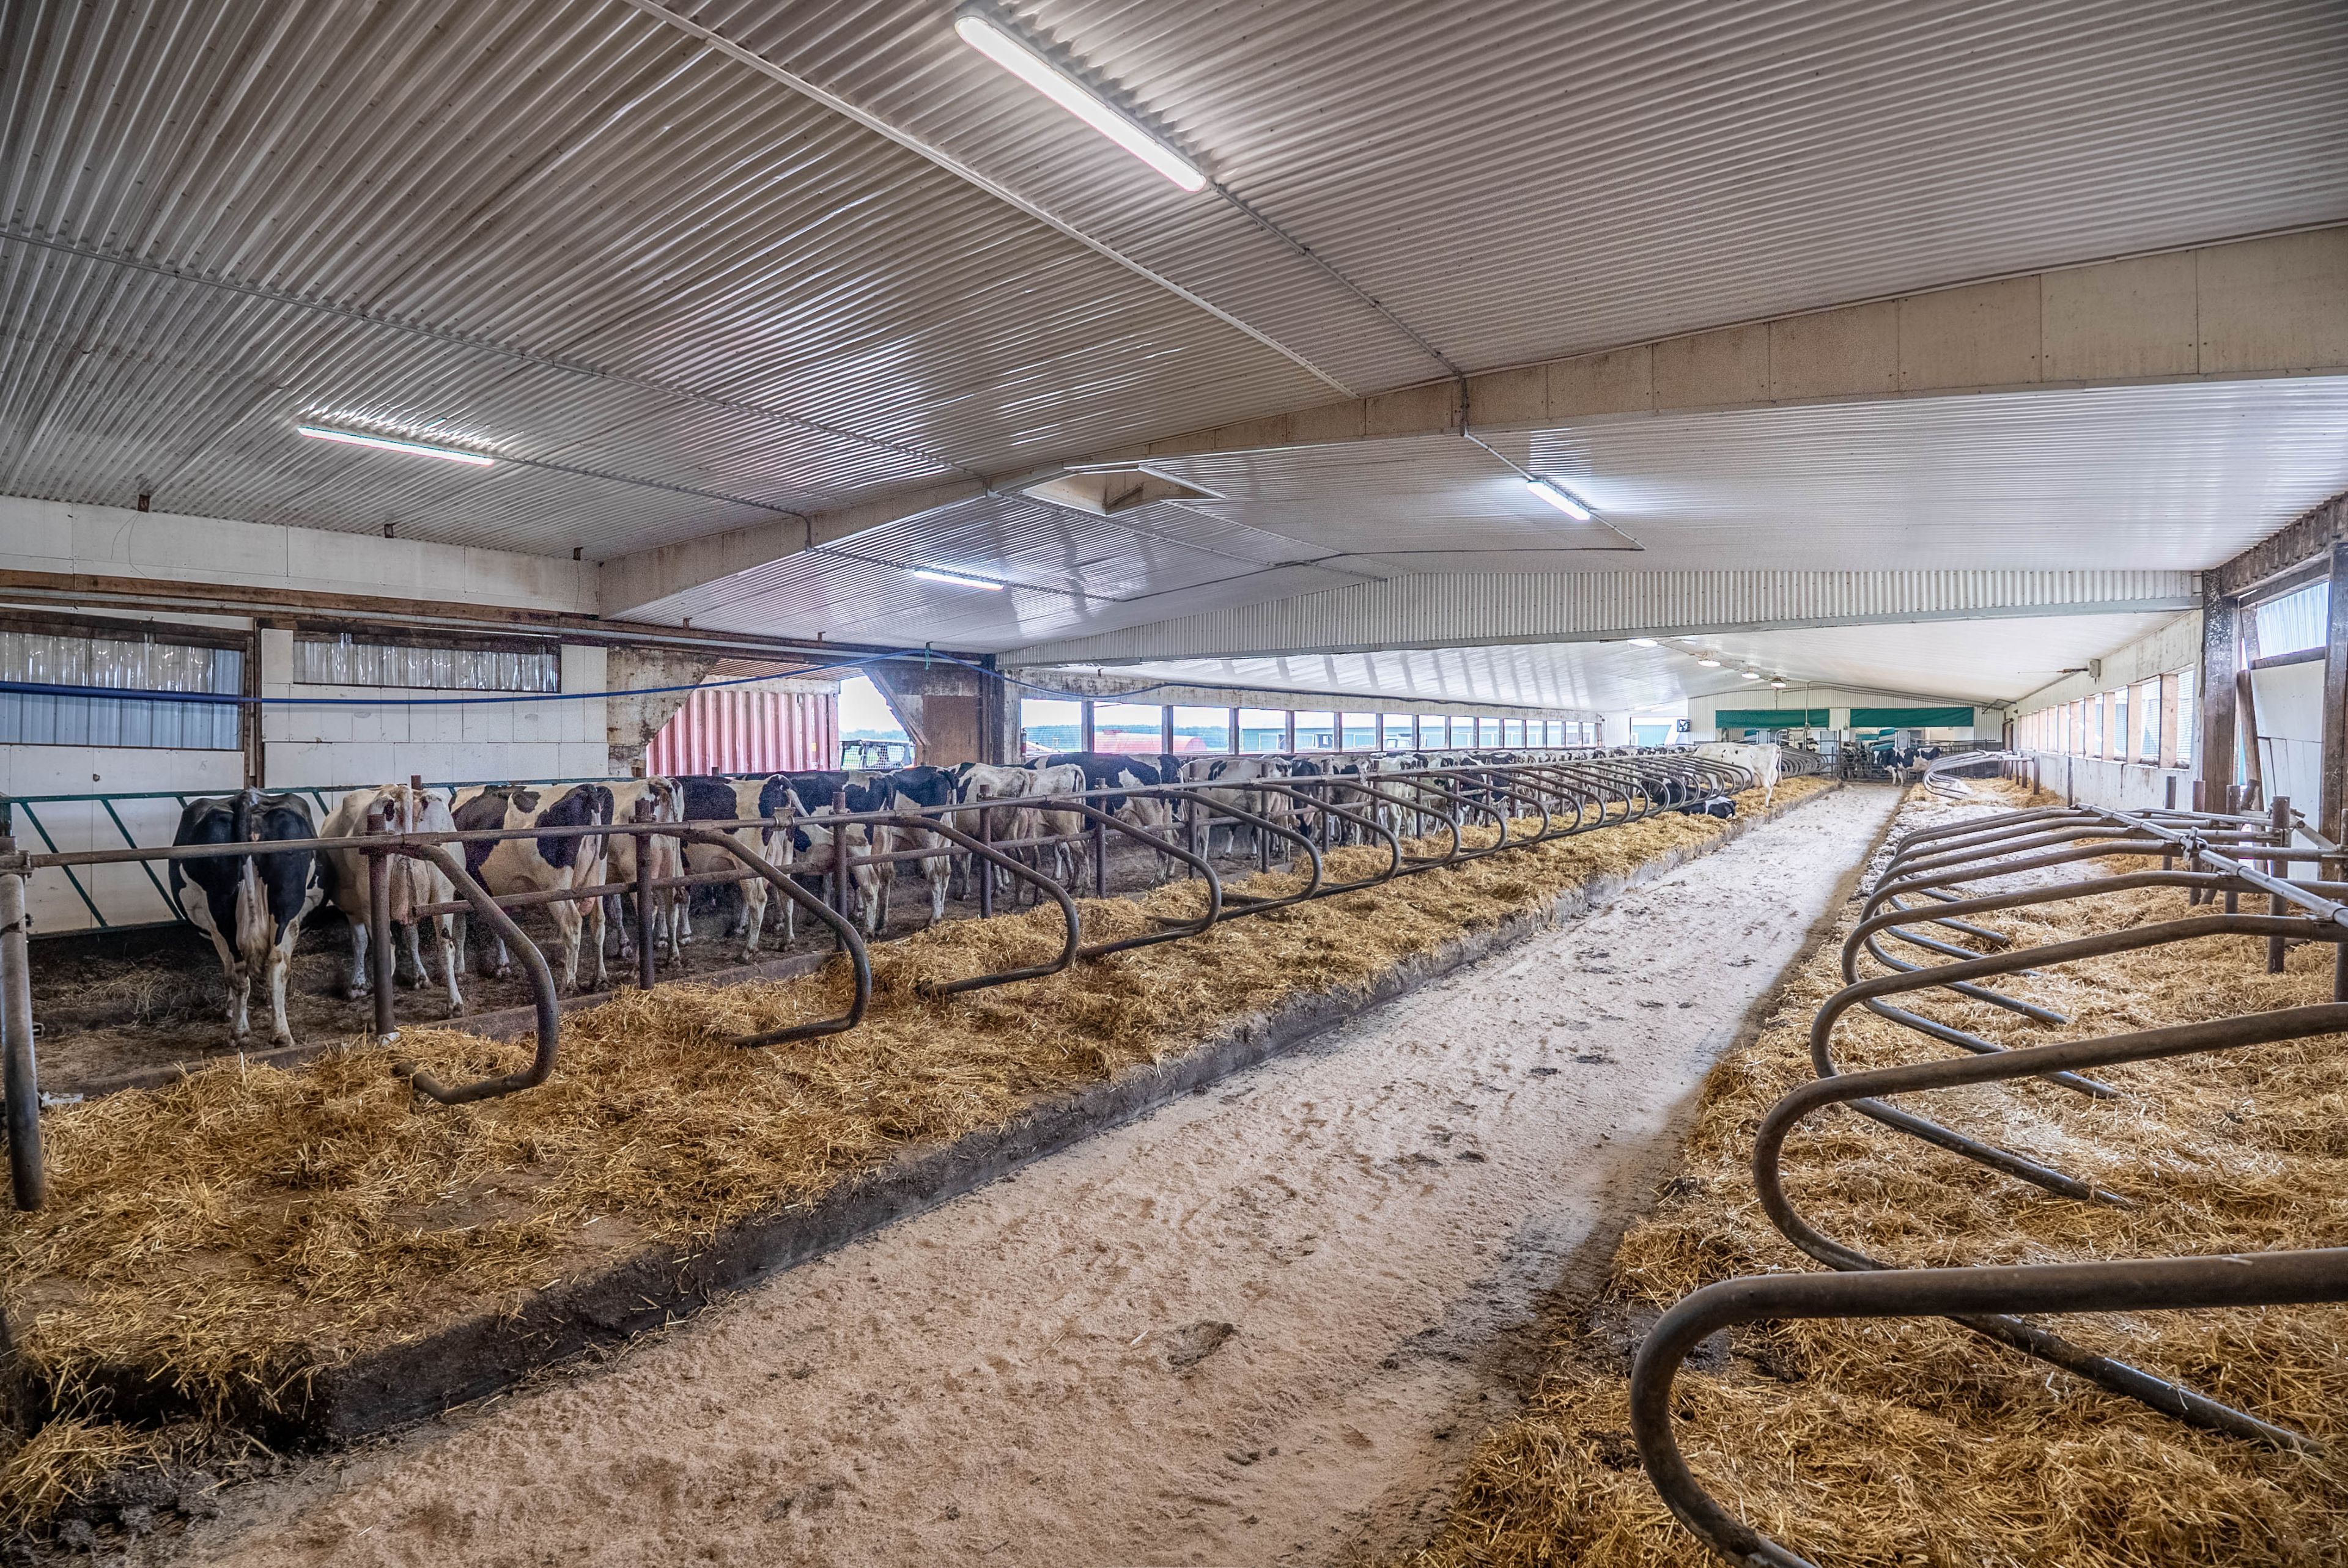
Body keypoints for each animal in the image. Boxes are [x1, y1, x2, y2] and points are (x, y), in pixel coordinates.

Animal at [170, 791, 327, 1047]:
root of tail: (248, 799)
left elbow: (226, 969)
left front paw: (230, 1009)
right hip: (284, 902)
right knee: (274, 963)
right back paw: (280, 1034)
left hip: (221, 911)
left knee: (241, 969)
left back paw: (240, 1032)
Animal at [319, 783, 465, 1015]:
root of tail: (401, 791)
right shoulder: (410, 907)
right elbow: (412, 937)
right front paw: (420, 978)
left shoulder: (353, 907)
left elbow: (359, 942)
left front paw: (357, 987)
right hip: (443, 894)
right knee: (446, 946)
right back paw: (455, 1003)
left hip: (371, 899)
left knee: (386, 950)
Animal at [452, 783, 612, 992]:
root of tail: (585, 790)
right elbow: (499, 925)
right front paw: (502, 966)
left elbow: (459, 930)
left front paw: (459, 970)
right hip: (598, 880)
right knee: (598, 922)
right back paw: (600, 978)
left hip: (556, 886)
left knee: (572, 923)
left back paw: (568, 984)